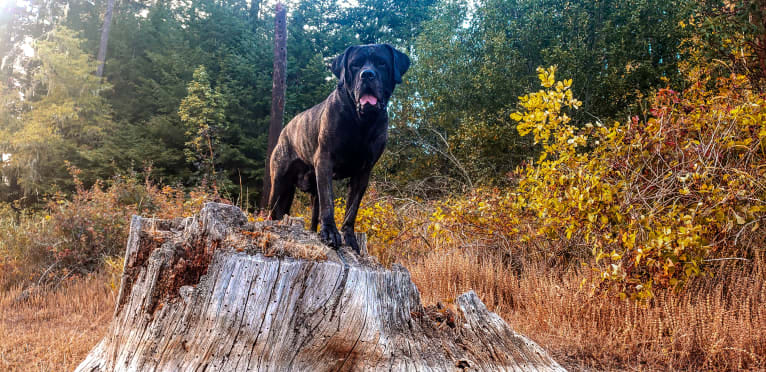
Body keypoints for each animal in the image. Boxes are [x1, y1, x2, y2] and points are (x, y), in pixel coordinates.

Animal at [268, 43, 412, 253]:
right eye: (355, 65)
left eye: (382, 63)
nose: (367, 75)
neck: (362, 122)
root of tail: (284, 131)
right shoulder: (325, 161)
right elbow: (329, 203)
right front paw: (330, 233)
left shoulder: (363, 173)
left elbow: (352, 209)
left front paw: (350, 239)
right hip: (279, 182)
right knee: (274, 209)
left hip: (309, 190)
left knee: (314, 216)